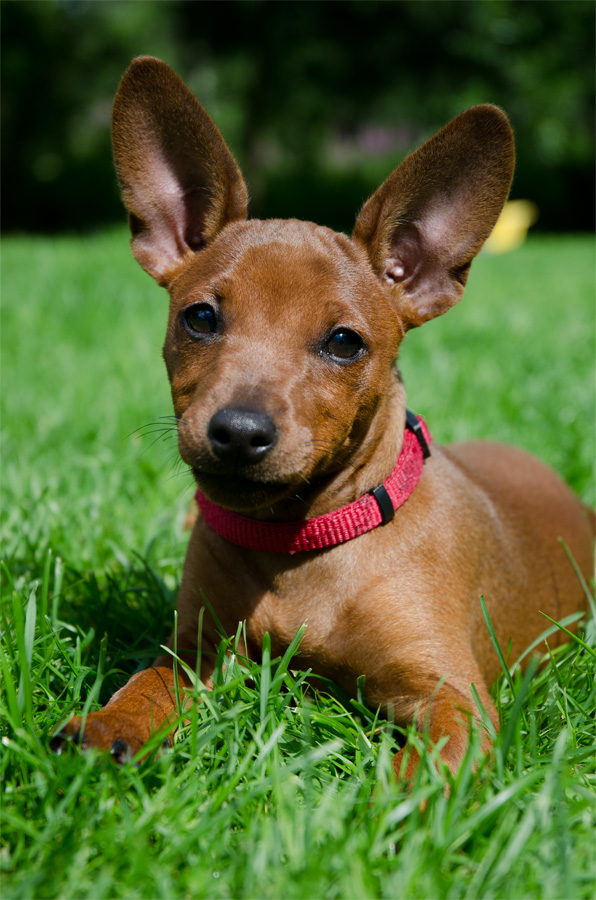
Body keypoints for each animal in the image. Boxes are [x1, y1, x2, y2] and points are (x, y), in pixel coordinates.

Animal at [51, 57, 594, 777]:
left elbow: (417, 781)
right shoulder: (197, 654)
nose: (238, 433)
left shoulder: (453, 698)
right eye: (200, 317)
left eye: (344, 342)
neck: (302, 543)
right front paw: (109, 725)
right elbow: (146, 682)